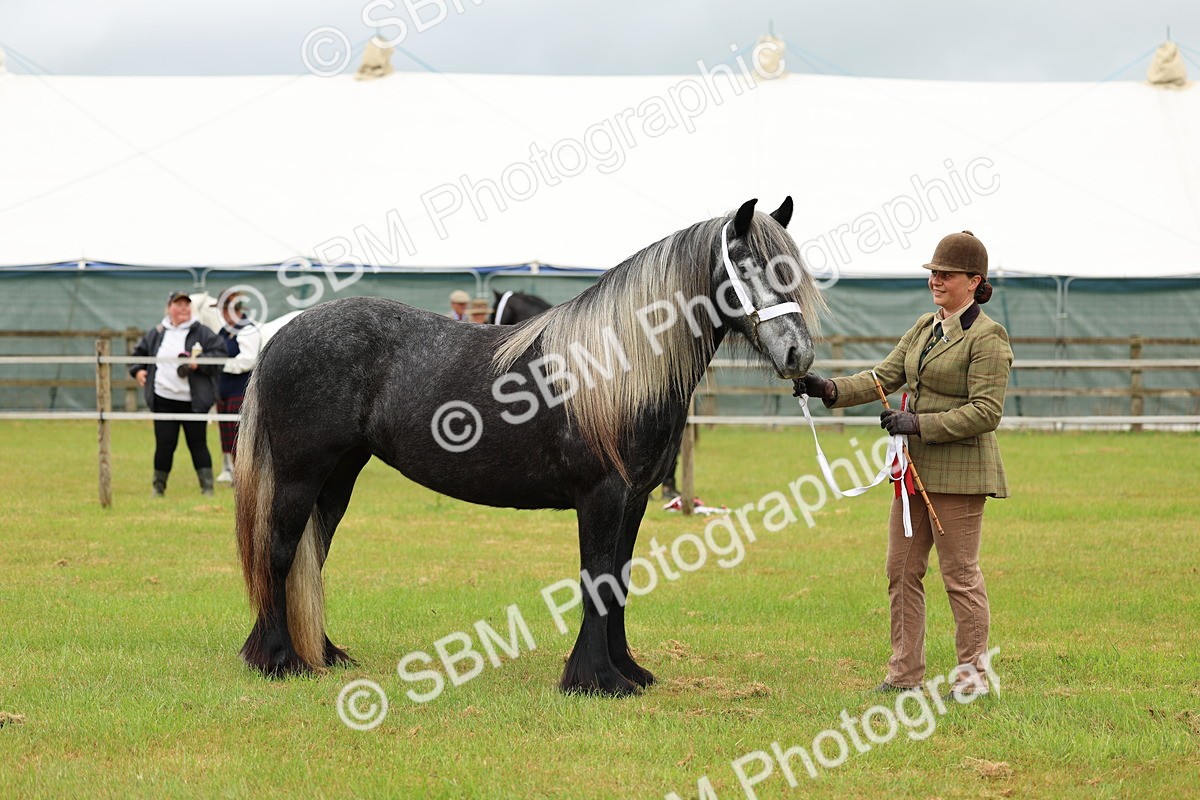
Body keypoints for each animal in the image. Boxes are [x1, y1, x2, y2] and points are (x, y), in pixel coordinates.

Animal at [235, 197, 823, 696]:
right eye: (746, 266)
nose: (798, 355)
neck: (615, 368)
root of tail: (283, 333)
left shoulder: (634, 500)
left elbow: (620, 581)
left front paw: (628, 671)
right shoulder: (602, 497)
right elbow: (598, 581)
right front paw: (595, 680)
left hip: (339, 476)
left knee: (313, 553)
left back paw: (323, 654)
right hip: (301, 474)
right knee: (280, 552)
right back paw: (279, 660)